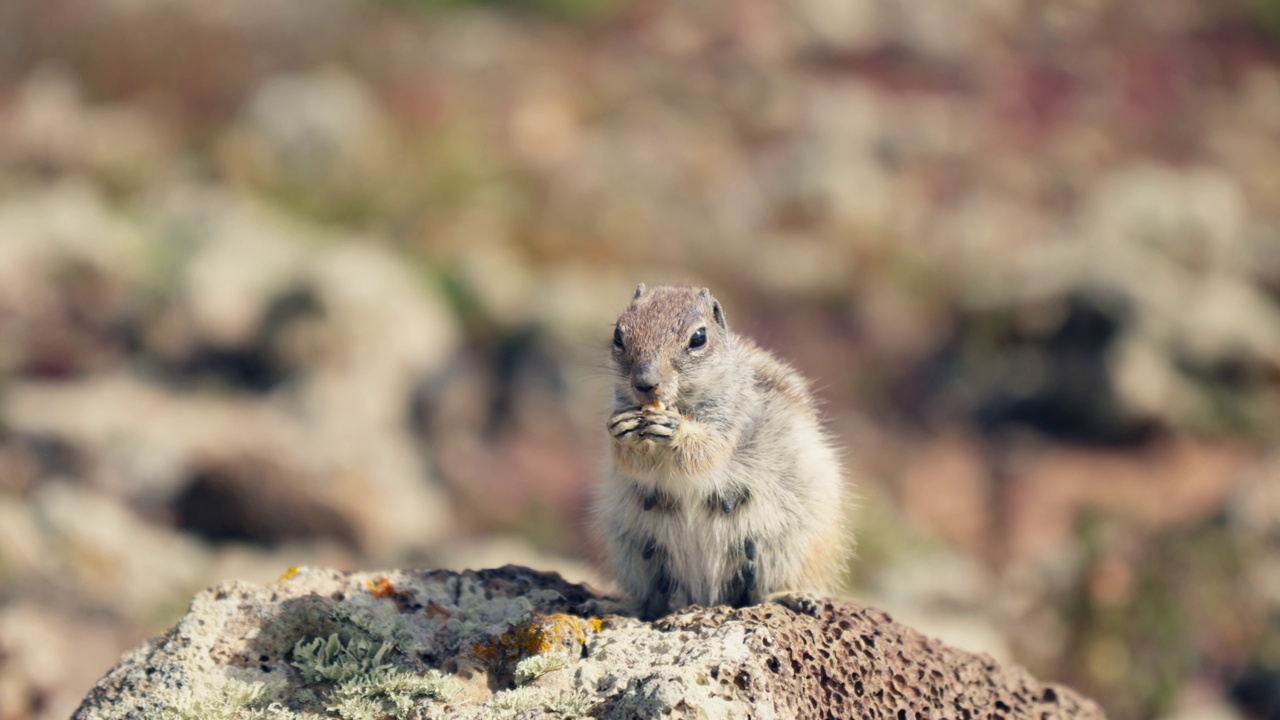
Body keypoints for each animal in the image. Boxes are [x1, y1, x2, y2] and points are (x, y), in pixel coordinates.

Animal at [596, 281, 849, 617]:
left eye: (698, 338)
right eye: (618, 335)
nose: (645, 383)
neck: (682, 404)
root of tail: (704, 596)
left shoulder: (732, 415)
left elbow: (709, 449)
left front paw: (676, 430)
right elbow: (629, 459)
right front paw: (621, 430)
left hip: (788, 545)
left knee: (764, 590)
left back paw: (793, 596)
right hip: (634, 551)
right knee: (653, 600)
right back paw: (622, 605)